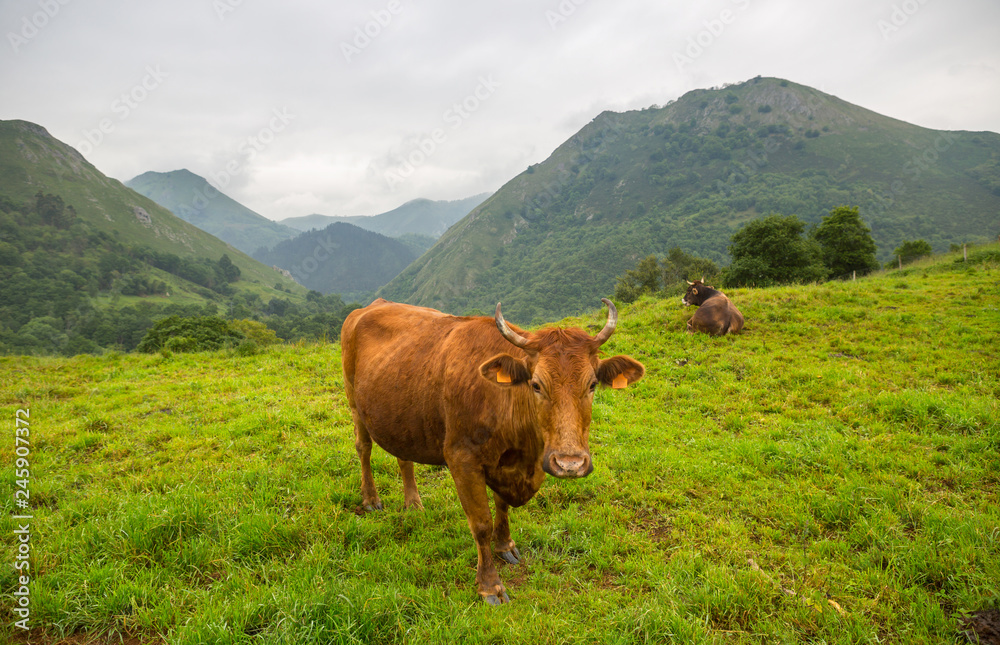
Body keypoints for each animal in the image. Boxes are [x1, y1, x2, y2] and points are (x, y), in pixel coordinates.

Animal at [340, 298, 644, 605]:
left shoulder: (505, 465)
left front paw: (505, 545)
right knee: (363, 448)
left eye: (592, 384)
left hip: (402, 416)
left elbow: (502, 506)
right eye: (536, 385)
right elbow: (481, 523)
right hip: (354, 400)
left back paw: (413, 504)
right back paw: (371, 499)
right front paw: (489, 584)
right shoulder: (462, 460)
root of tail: (373, 305)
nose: (569, 463)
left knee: (404, 458)